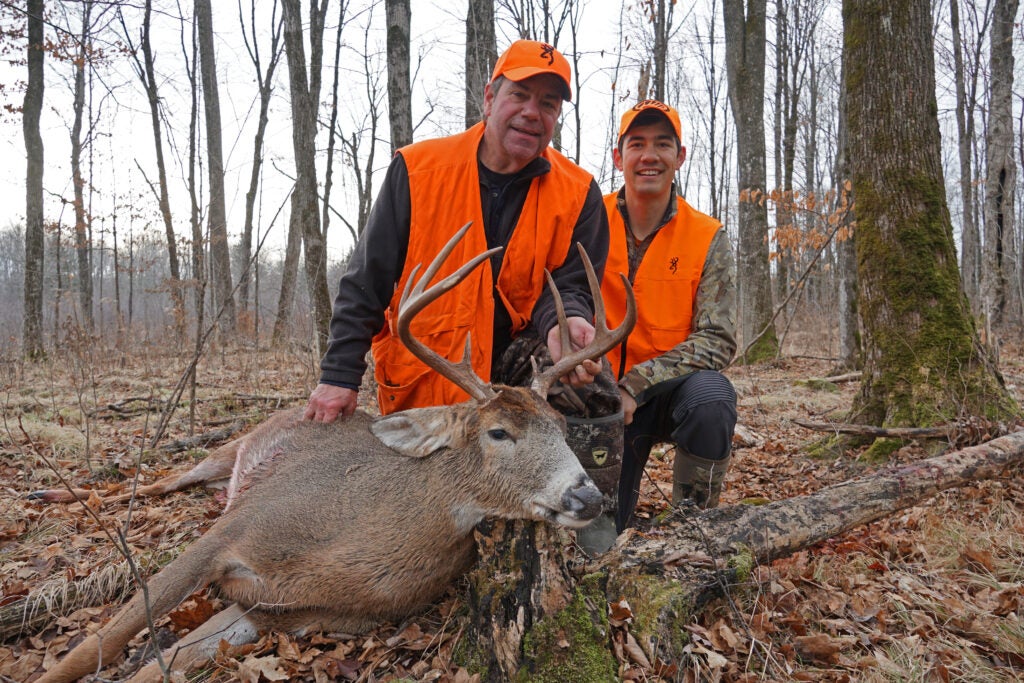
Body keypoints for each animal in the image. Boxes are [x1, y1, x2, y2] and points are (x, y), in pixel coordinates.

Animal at [34, 222, 636, 683]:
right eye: (498, 433)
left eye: (562, 425)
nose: (586, 496)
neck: (343, 543)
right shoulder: (229, 531)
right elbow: (91, 648)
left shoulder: (282, 611)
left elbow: (158, 665)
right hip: (230, 450)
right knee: (166, 480)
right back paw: (57, 492)